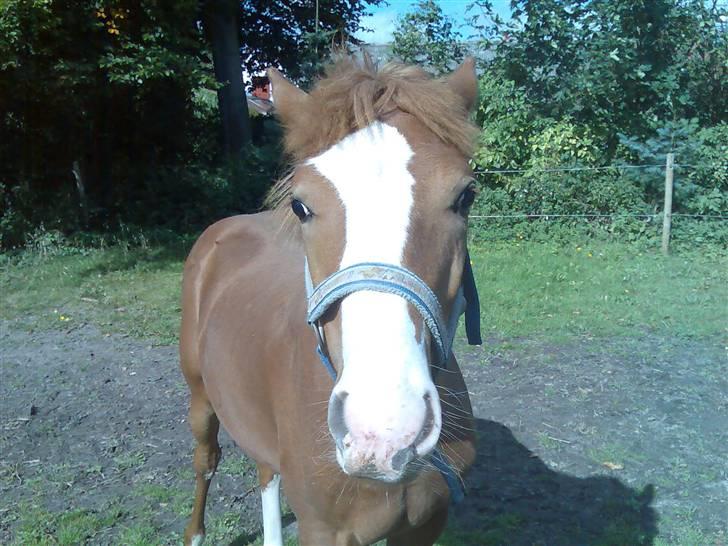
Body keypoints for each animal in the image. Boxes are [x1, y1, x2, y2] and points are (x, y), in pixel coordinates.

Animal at [179, 56, 480, 544]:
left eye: (465, 196)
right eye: (301, 206)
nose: (382, 429)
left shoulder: (425, 525)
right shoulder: (324, 529)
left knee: (266, 469)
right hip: (201, 396)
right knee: (206, 460)